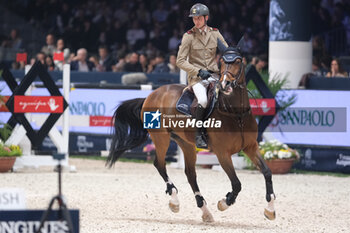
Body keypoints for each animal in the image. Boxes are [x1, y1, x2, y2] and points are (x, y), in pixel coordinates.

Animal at [106, 38, 276, 222]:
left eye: (238, 61)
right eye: (222, 62)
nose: (226, 84)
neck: (236, 114)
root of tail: (152, 94)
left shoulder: (250, 147)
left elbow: (267, 172)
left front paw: (270, 209)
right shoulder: (222, 153)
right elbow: (237, 183)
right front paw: (224, 202)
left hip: (185, 143)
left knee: (190, 174)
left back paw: (205, 211)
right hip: (161, 138)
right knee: (160, 164)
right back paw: (175, 201)